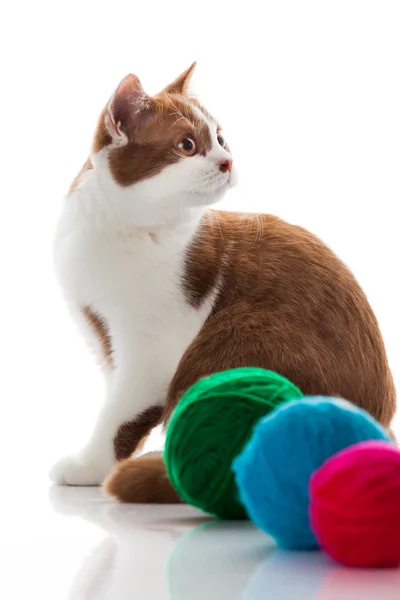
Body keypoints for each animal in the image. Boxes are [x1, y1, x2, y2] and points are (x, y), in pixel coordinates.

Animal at [50, 63, 396, 502]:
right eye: (186, 145)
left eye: (219, 138)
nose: (228, 161)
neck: (123, 229)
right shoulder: (103, 333)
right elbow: (117, 395)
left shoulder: (153, 349)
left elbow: (121, 410)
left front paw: (90, 466)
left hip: (242, 329)